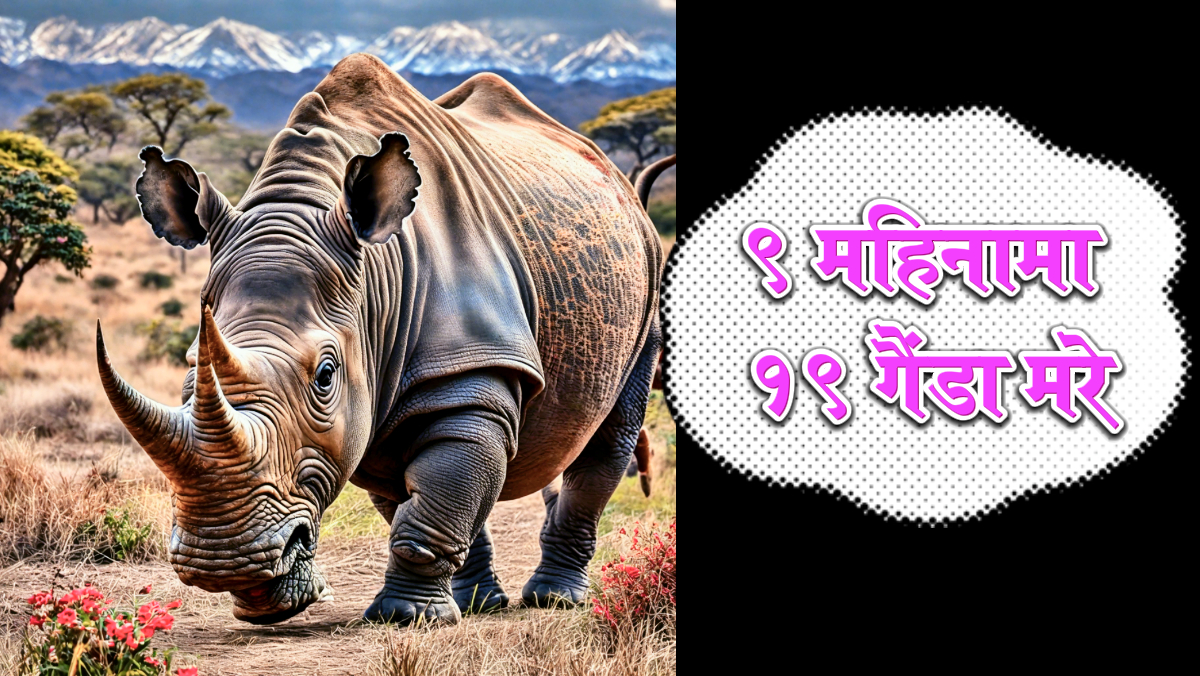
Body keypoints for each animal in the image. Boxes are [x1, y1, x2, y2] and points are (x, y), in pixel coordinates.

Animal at [96, 54, 673, 625]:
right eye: (190, 369)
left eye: (325, 376)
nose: (222, 559)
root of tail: (616, 180)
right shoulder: (371, 390)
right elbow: (416, 497)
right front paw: (431, 610)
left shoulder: (474, 365)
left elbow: (437, 497)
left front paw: (408, 617)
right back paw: (480, 604)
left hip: (644, 271)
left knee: (609, 437)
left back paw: (553, 599)